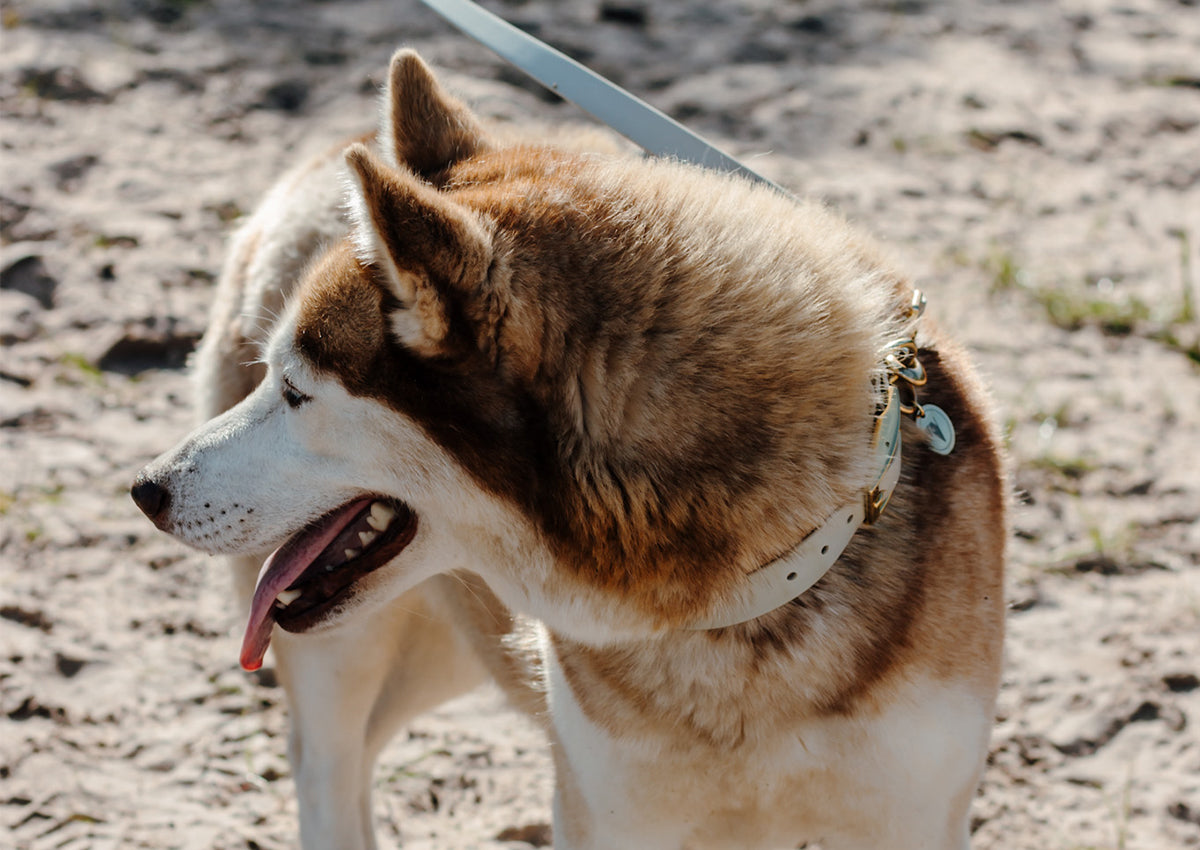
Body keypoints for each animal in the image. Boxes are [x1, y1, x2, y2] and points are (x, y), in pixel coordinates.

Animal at [136, 49, 1008, 845]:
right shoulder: (611, 811)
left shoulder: (914, 814)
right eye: (271, 376)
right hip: (348, 657)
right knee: (329, 770)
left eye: (295, 392)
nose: (147, 489)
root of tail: (336, 144)